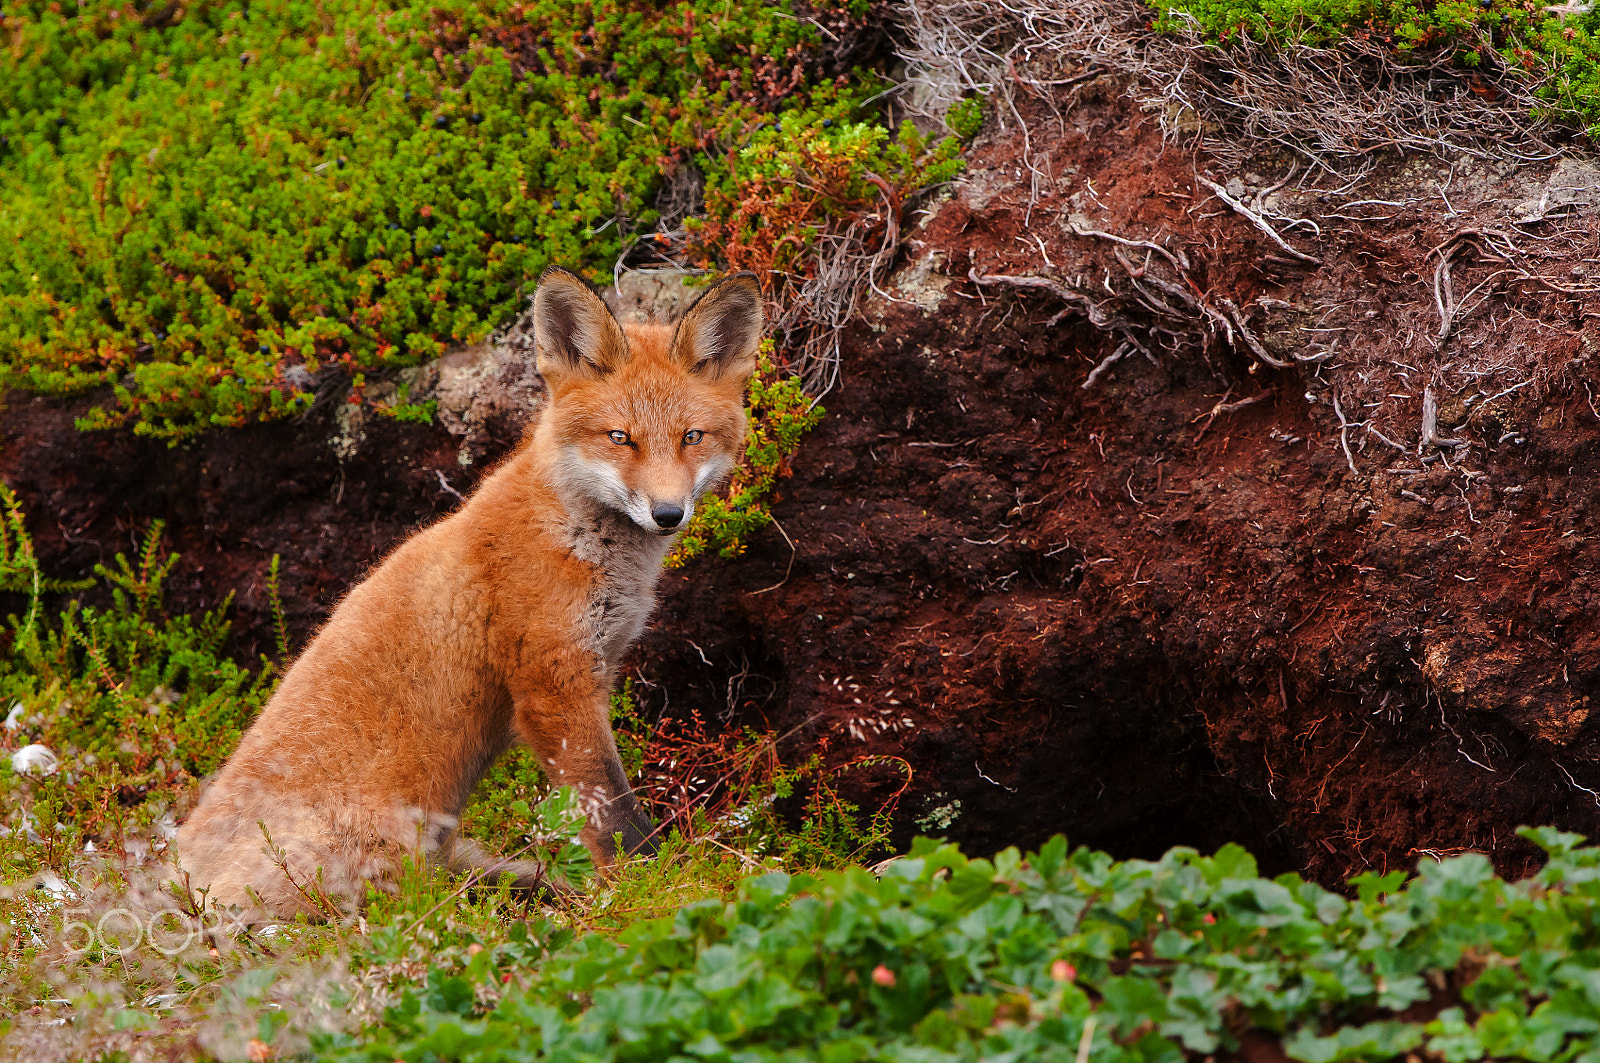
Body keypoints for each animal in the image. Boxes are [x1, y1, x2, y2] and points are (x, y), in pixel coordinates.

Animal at [178, 270, 764, 915]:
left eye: (692, 437)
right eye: (620, 438)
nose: (667, 514)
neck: (575, 535)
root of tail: (177, 880)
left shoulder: (595, 668)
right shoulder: (553, 686)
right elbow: (613, 813)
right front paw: (650, 886)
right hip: (380, 859)